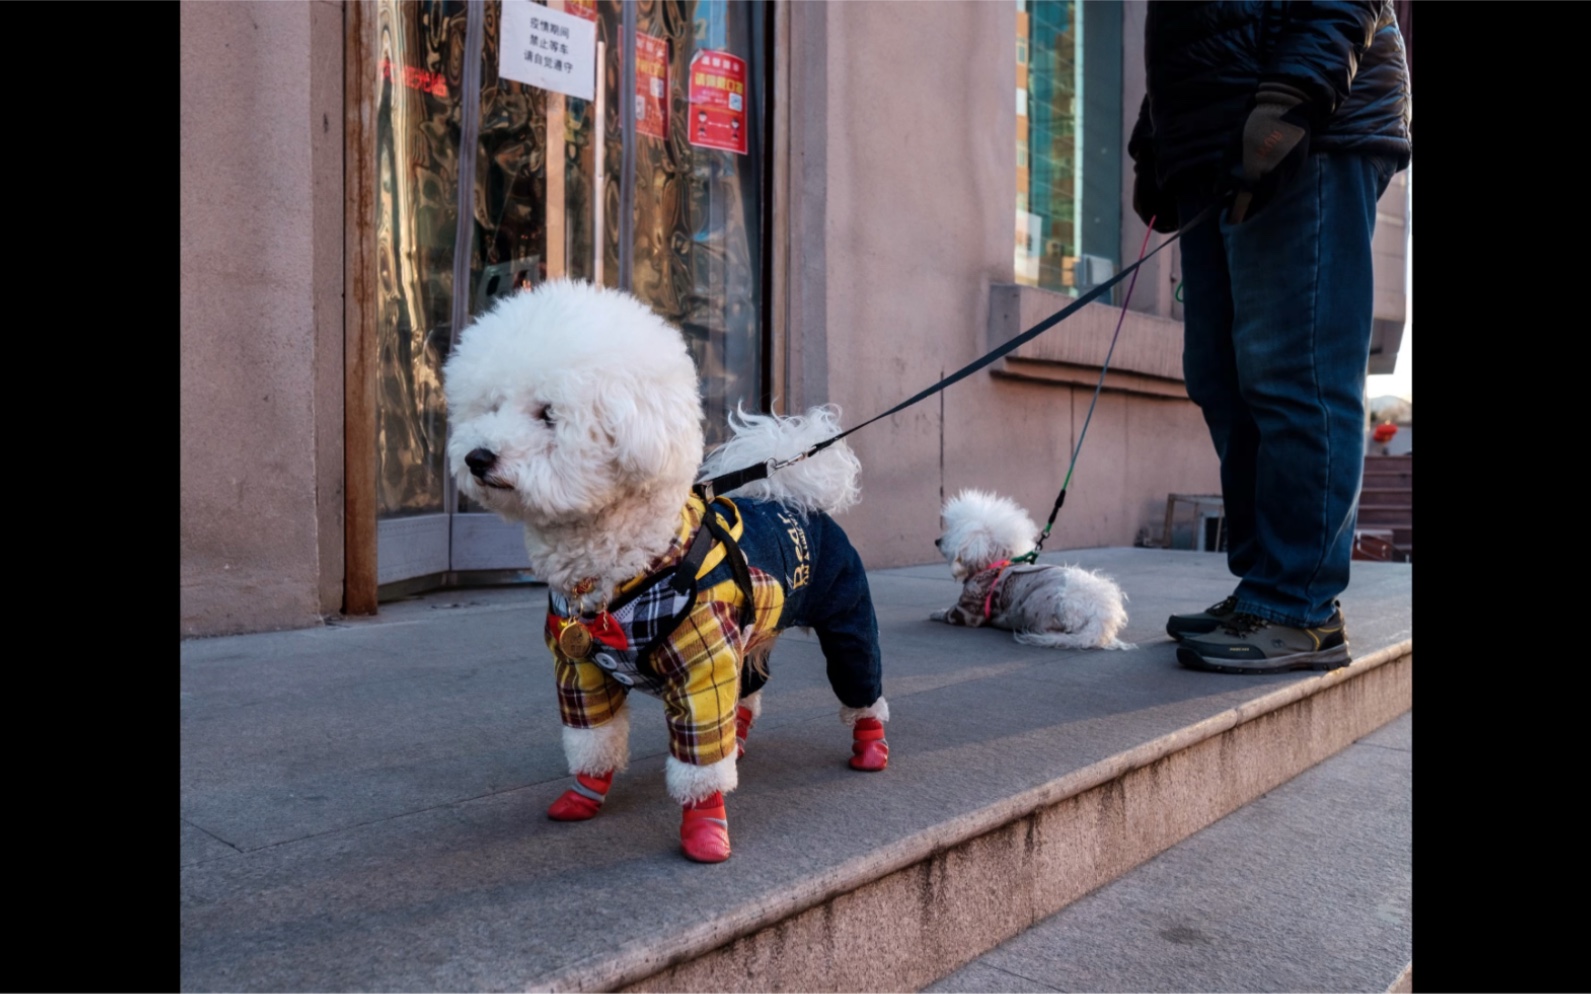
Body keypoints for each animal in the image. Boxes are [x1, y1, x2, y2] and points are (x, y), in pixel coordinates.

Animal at [442, 279, 890, 858]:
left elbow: (700, 760)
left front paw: (706, 829)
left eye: (548, 413)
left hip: (847, 615)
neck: (621, 570)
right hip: (751, 637)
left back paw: (871, 747)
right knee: (749, 693)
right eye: (491, 406)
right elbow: (593, 738)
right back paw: (742, 740)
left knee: (862, 682)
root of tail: (793, 493)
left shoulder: (702, 664)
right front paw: (584, 795)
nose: (476, 457)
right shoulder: (578, 668)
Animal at [929, 489, 1139, 652]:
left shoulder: (970, 607)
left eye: (951, 532)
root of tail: (1100, 618)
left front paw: (937, 612)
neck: (994, 563)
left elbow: (952, 614)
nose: (937, 540)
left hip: (1039, 605)